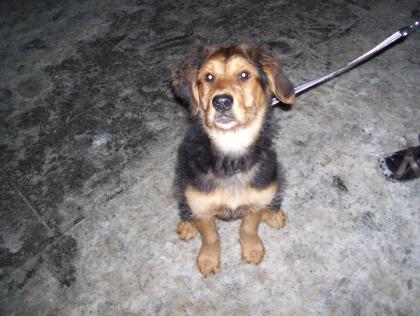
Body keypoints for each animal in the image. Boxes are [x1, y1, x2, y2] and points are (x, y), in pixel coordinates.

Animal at [171, 43, 296, 276]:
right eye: (208, 77)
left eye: (244, 75)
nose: (221, 102)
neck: (231, 159)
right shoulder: (202, 208)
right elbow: (211, 238)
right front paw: (208, 259)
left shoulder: (256, 201)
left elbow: (248, 228)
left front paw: (252, 249)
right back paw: (187, 224)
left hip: (274, 175)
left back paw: (273, 213)